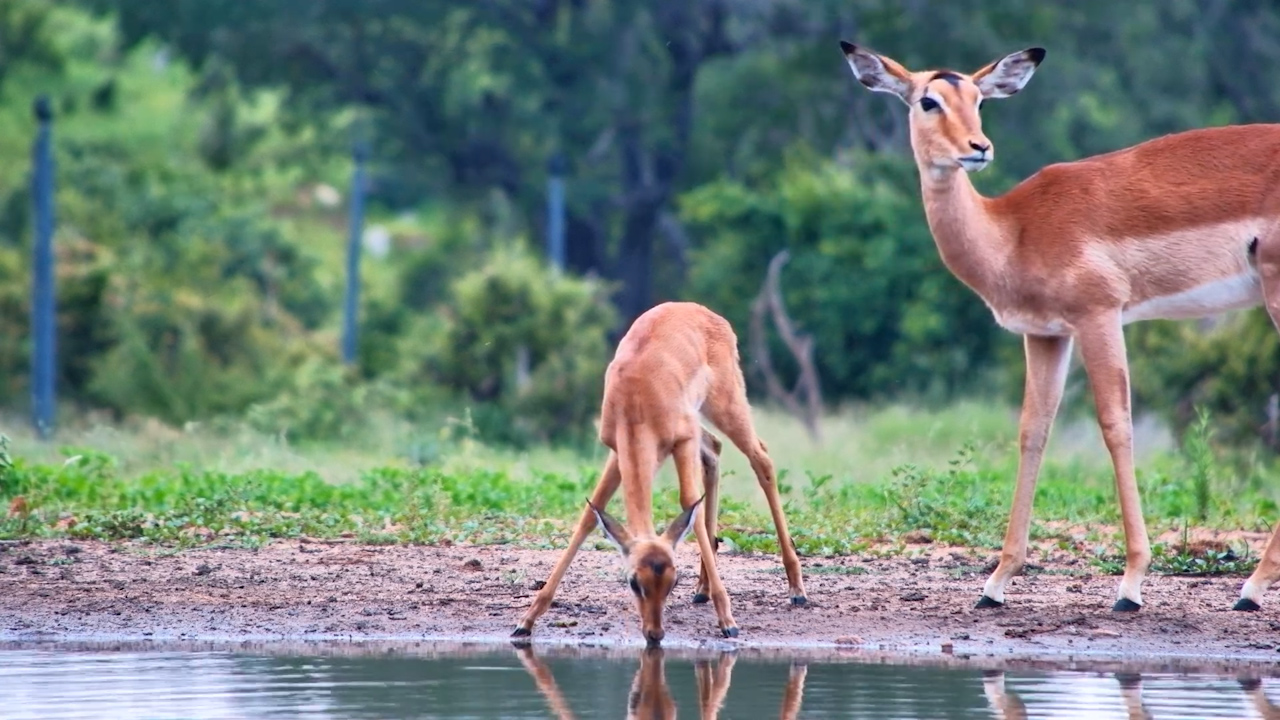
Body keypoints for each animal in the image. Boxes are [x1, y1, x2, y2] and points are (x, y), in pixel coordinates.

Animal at [512, 301, 807, 644]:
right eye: (633, 581)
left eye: (673, 581)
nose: (654, 633)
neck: (636, 397)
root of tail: (704, 312)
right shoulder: (617, 451)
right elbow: (590, 514)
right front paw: (527, 619)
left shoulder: (681, 441)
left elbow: (688, 502)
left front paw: (728, 621)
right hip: (701, 422)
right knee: (715, 450)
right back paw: (703, 589)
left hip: (724, 405)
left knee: (761, 458)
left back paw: (797, 590)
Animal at [839, 41, 1280, 613]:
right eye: (928, 101)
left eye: (979, 99)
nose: (979, 148)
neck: (1012, 231)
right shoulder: (1047, 334)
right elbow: (1033, 431)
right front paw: (995, 583)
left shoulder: (1099, 315)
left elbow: (1115, 425)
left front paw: (1130, 585)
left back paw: (1250, 589)